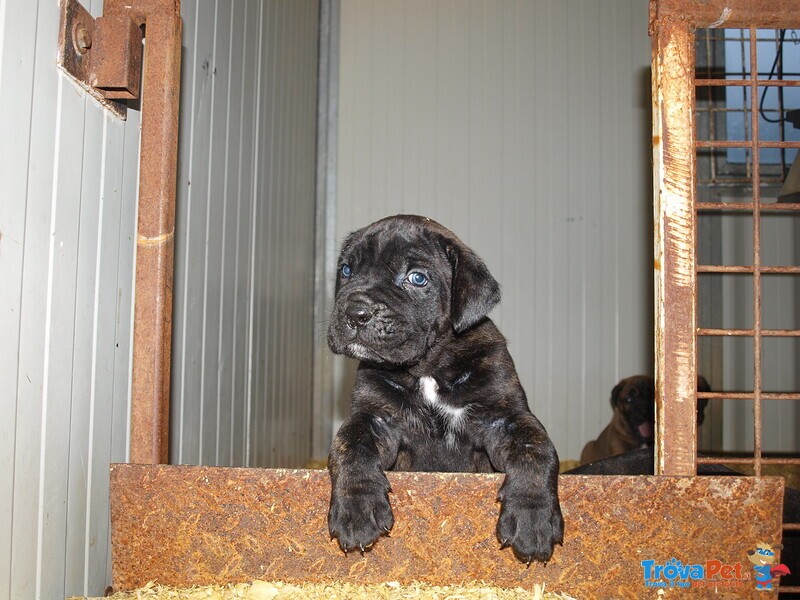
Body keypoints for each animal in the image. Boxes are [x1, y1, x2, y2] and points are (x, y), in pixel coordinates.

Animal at [324, 214, 564, 564]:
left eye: (417, 278)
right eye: (346, 270)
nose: (355, 312)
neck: (427, 368)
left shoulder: (506, 418)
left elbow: (536, 451)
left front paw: (533, 518)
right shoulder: (374, 418)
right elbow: (350, 446)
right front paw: (357, 509)